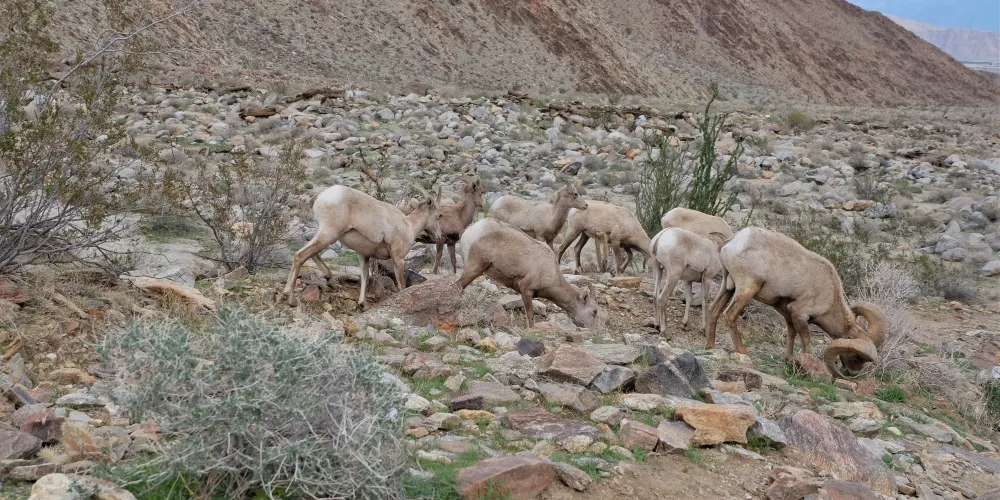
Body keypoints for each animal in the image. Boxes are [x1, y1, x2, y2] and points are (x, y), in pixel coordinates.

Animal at [281, 185, 443, 307]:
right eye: (439, 215)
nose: (439, 236)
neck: (409, 225)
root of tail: (322, 195)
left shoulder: (364, 255)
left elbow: (365, 277)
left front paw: (363, 305)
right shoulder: (398, 259)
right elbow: (401, 285)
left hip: (322, 232)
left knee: (309, 253)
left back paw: (330, 279)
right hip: (329, 234)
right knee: (301, 255)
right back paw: (291, 298)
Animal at [457, 218, 607, 329]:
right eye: (594, 311)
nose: (594, 331)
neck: (550, 271)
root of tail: (469, 230)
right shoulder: (526, 290)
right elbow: (530, 315)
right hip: (474, 268)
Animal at [704, 227, 887, 378]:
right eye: (856, 358)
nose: (852, 373)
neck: (828, 293)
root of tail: (732, 242)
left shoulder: (788, 314)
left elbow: (791, 334)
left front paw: (788, 358)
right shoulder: (800, 315)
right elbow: (805, 338)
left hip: (728, 287)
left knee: (714, 311)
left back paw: (710, 347)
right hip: (746, 289)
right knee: (730, 315)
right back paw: (744, 352)